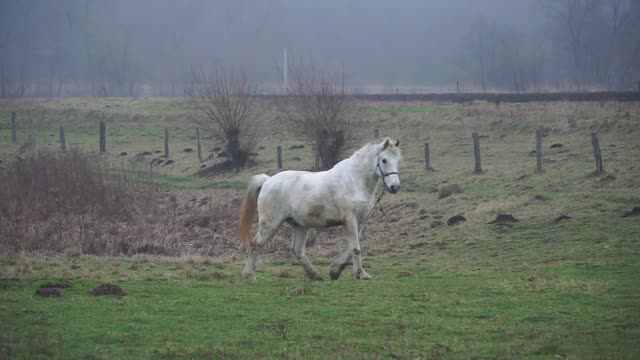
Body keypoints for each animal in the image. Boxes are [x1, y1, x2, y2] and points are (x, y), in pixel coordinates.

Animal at [238, 138, 402, 282]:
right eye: (384, 160)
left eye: (398, 160)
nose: (395, 187)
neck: (353, 180)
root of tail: (267, 181)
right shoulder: (350, 220)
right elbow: (356, 248)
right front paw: (361, 274)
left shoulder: (360, 222)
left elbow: (352, 247)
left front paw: (335, 271)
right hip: (270, 224)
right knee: (255, 245)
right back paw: (249, 276)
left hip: (300, 226)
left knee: (298, 250)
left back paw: (316, 275)